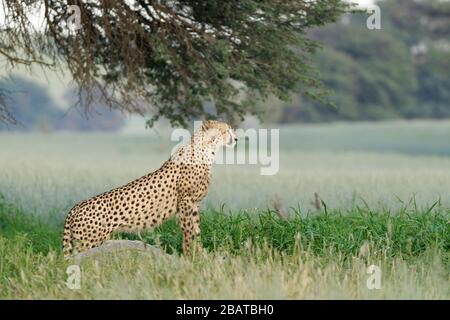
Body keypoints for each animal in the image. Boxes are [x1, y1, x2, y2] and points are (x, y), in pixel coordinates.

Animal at [63, 120, 239, 258]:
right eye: (227, 130)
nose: (236, 138)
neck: (207, 149)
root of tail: (77, 205)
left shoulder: (194, 204)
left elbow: (196, 231)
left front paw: (201, 254)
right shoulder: (185, 201)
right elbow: (188, 231)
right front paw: (190, 255)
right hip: (89, 243)